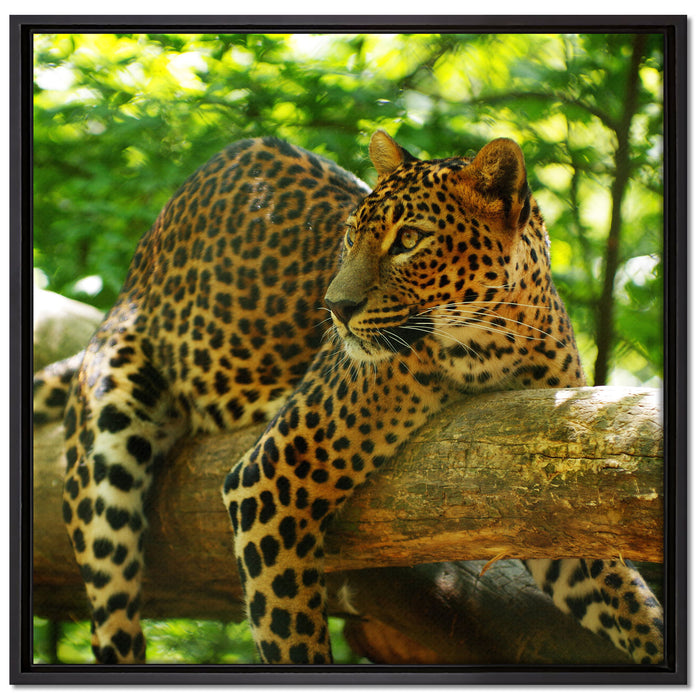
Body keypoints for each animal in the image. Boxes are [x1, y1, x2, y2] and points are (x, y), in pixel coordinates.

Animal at [34, 129, 664, 665]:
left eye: (409, 240)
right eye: (350, 235)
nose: (335, 308)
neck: (495, 345)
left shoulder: (546, 495)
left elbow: (625, 595)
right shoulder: (268, 478)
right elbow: (290, 633)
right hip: (107, 453)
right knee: (113, 613)